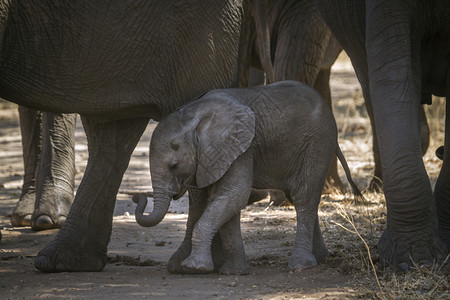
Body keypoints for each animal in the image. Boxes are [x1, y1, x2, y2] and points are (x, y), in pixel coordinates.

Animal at [134, 79, 362, 274]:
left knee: (303, 196)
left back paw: (300, 265)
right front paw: (233, 272)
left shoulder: (242, 148)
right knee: (301, 196)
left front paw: (194, 267)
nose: (137, 197)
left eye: (173, 166)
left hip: (318, 144)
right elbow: (225, 199)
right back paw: (320, 257)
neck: (194, 116)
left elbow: (234, 194)